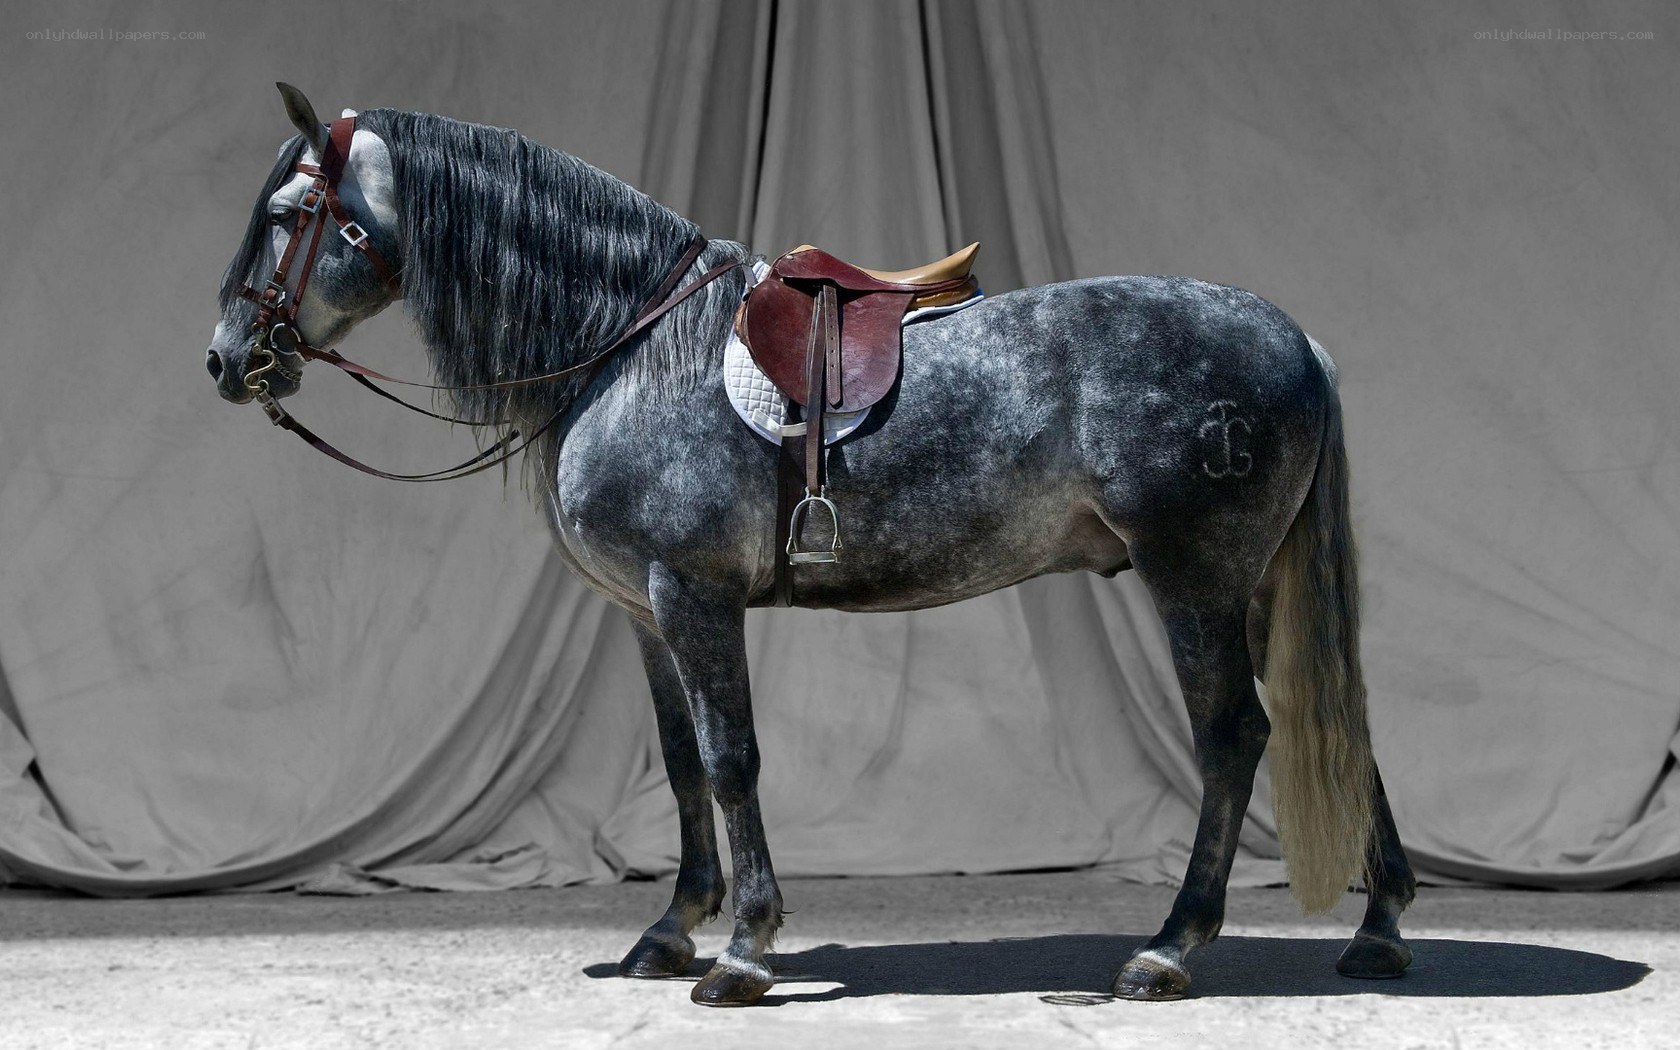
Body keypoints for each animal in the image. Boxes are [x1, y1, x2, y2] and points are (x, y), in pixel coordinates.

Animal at [204, 84, 1416, 1006]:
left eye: (293, 211)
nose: (226, 359)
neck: (632, 347)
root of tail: (1298, 341)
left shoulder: (692, 595)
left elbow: (733, 761)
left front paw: (742, 951)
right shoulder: (646, 613)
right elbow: (684, 761)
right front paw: (670, 931)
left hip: (1194, 581)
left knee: (1235, 738)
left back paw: (1168, 949)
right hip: (1257, 588)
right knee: (1336, 723)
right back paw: (1380, 931)